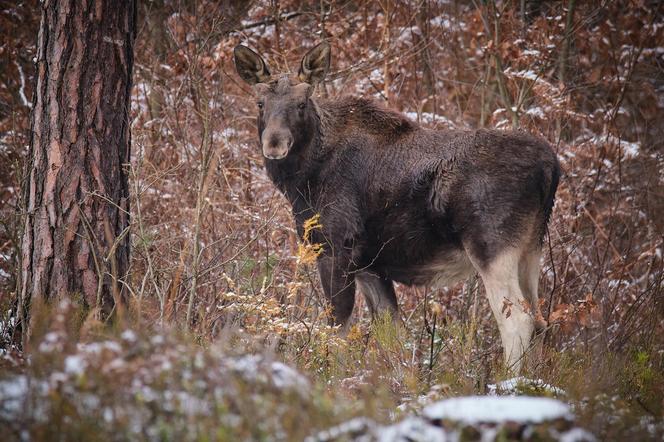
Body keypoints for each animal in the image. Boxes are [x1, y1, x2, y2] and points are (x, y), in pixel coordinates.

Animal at [233, 43, 560, 372]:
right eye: (260, 103)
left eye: (301, 104)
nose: (274, 144)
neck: (302, 180)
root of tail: (551, 167)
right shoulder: (370, 267)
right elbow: (392, 335)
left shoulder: (335, 247)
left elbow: (338, 330)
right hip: (530, 248)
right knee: (541, 320)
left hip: (492, 247)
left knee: (518, 320)